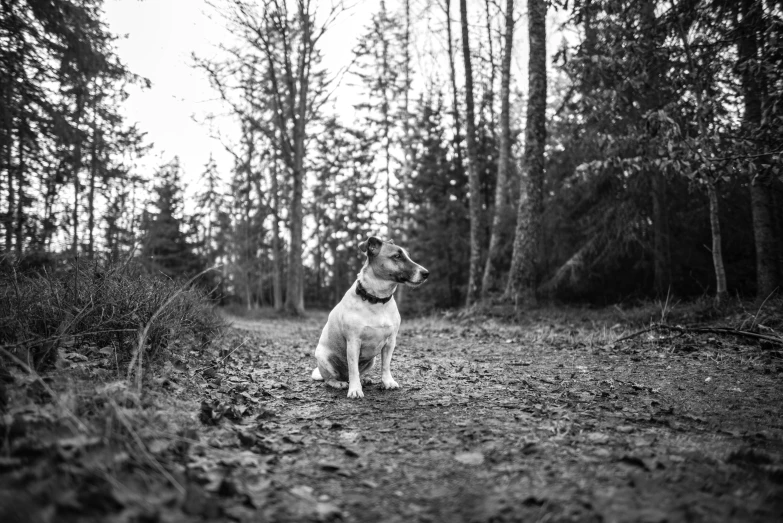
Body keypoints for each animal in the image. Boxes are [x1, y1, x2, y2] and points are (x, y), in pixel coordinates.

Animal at [310, 235, 428, 400]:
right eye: (397, 256)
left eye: (407, 255)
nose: (426, 273)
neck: (377, 300)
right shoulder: (353, 342)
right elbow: (353, 370)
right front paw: (355, 390)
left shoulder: (390, 342)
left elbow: (386, 366)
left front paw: (387, 382)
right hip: (324, 357)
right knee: (330, 379)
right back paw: (339, 383)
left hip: (372, 359)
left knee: (359, 373)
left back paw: (364, 379)